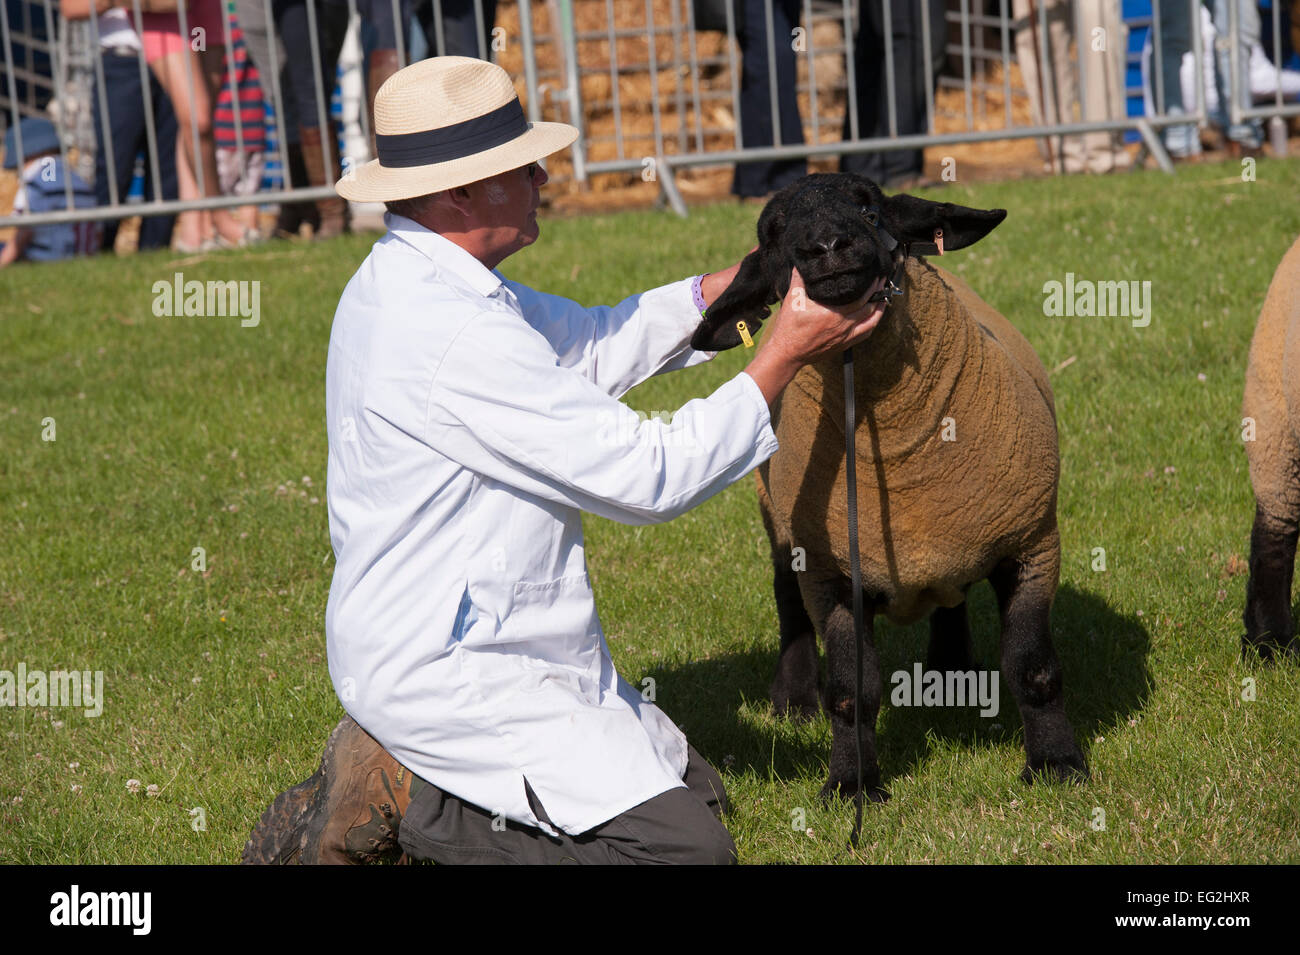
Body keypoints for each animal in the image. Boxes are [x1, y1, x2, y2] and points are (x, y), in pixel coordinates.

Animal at [696, 171, 1092, 800]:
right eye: (772, 233)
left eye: (870, 208)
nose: (827, 247)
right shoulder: (833, 576)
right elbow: (850, 691)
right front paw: (852, 786)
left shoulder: (1031, 544)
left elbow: (1034, 668)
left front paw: (1056, 765)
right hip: (779, 519)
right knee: (787, 599)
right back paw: (793, 699)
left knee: (951, 600)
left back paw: (953, 671)